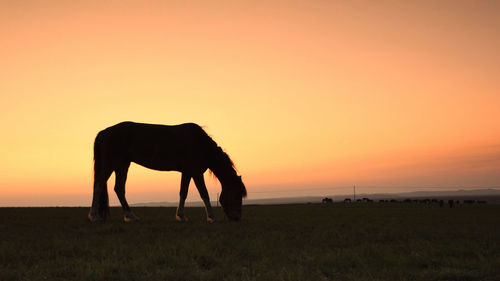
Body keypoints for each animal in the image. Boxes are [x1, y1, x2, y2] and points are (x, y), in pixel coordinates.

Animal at [89, 121, 248, 222]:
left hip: (122, 166)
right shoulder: (196, 173)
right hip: (111, 165)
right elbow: (204, 193)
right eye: (237, 194)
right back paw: (94, 216)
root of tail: (105, 132)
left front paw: (181, 216)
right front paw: (212, 217)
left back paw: (131, 216)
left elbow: (183, 193)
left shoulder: (187, 172)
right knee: (99, 186)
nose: (237, 218)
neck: (201, 144)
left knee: (119, 189)